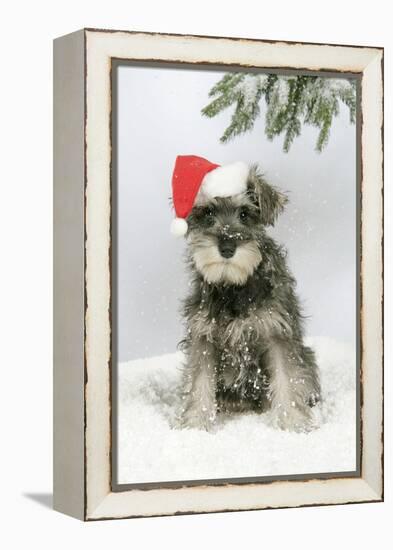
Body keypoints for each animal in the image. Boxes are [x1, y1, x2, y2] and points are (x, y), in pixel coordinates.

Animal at [176, 166, 320, 434]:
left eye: (245, 213)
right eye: (208, 212)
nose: (227, 247)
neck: (233, 286)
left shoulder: (277, 333)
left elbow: (287, 379)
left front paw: (293, 423)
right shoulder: (203, 337)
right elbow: (199, 382)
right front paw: (196, 424)